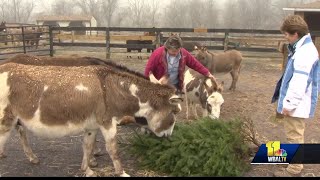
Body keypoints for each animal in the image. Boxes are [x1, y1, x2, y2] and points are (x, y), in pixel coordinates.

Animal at [0, 58, 182, 176]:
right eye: (175, 112)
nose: (169, 137)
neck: (111, 89)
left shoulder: (91, 126)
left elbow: (87, 147)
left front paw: (87, 169)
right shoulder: (108, 123)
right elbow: (113, 149)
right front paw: (122, 173)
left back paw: (31, 157)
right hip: (4, 121)